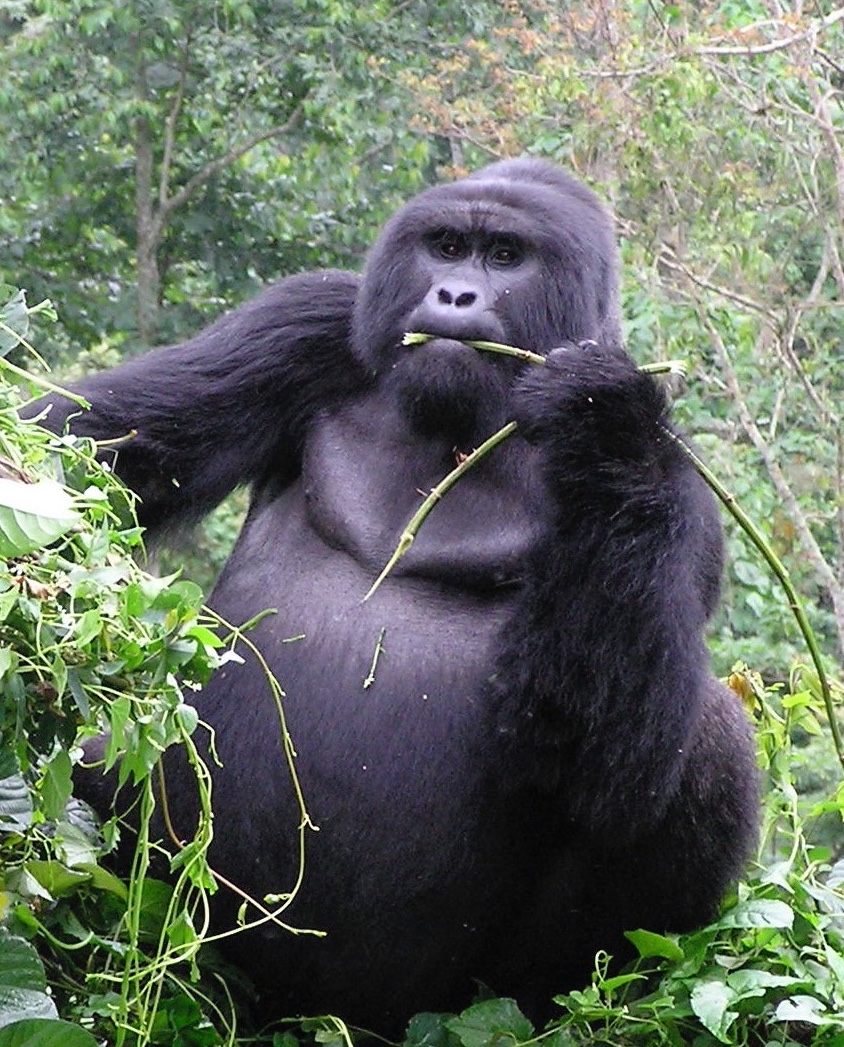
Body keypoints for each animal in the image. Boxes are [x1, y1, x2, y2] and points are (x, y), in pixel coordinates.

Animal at [36, 159, 758, 1034]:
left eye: (505, 256)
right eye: (446, 246)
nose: (454, 294)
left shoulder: (679, 481)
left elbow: (604, 757)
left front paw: (601, 420)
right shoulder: (310, 320)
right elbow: (98, 448)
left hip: (456, 995)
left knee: (709, 741)